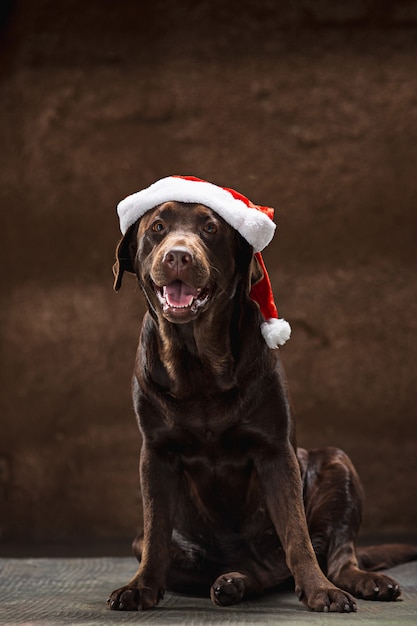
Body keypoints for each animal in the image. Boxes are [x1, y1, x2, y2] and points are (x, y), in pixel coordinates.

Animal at [108, 189, 416, 608]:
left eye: (210, 228)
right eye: (157, 227)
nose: (178, 256)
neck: (199, 363)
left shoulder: (275, 451)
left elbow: (297, 534)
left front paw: (320, 590)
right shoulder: (156, 454)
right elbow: (156, 532)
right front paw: (139, 588)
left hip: (337, 463)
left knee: (338, 554)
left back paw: (362, 581)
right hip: (156, 543)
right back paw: (233, 582)